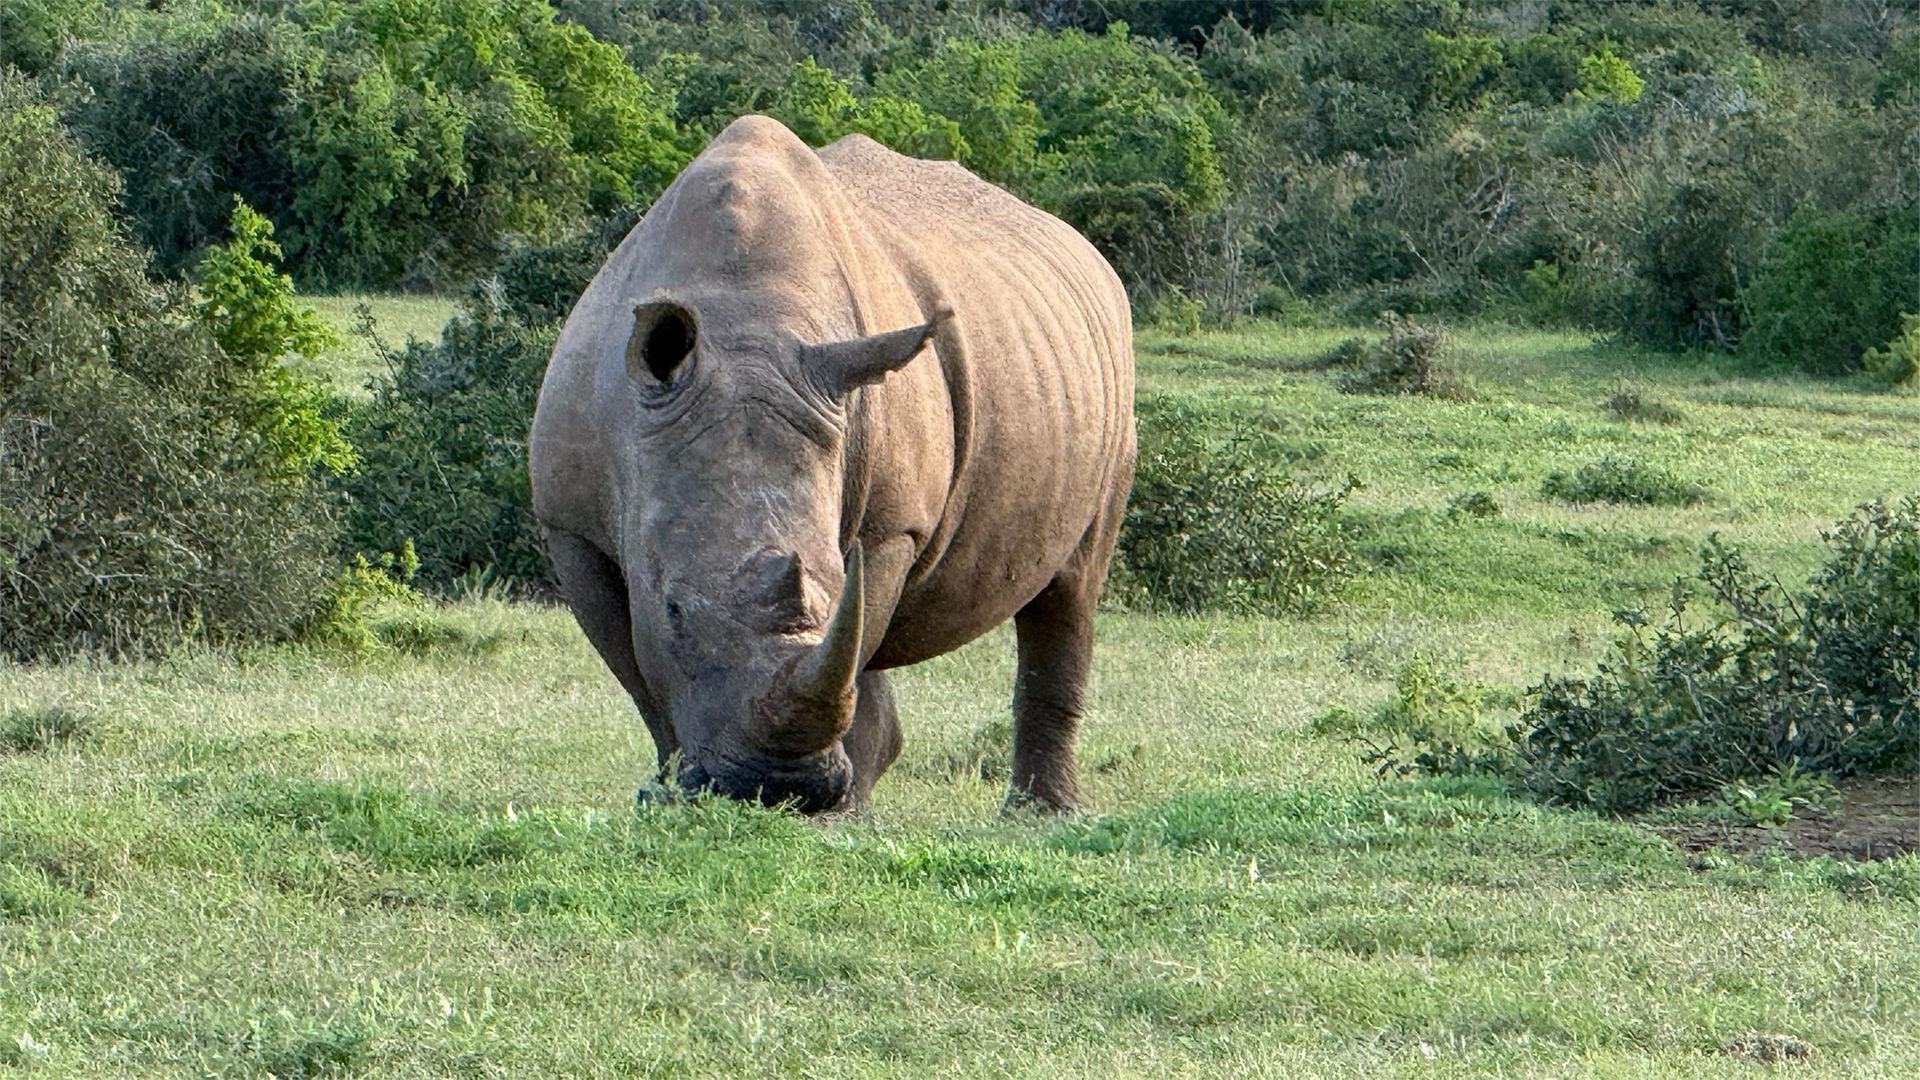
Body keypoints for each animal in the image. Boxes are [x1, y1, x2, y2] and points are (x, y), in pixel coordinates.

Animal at [528, 116, 1135, 814]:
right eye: (675, 608)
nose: (776, 787)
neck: (744, 327)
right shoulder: (570, 524)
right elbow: (639, 674)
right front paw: (673, 788)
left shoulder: (894, 524)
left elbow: (857, 628)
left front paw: (831, 813)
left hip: (1110, 377)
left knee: (1072, 585)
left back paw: (1035, 815)